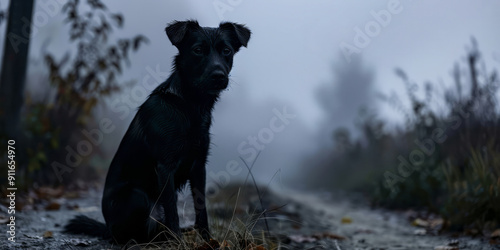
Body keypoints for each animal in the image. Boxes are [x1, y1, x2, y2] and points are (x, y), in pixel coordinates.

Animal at [63, 20, 250, 244]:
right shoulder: (165, 167)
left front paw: (207, 240)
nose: (218, 76)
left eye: (226, 51)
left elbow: (201, 206)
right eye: (197, 50)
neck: (189, 104)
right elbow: (172, 209)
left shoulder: (198, 165)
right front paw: (178, 242)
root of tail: (108, 228)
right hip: (137, 196)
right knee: (135, 233)